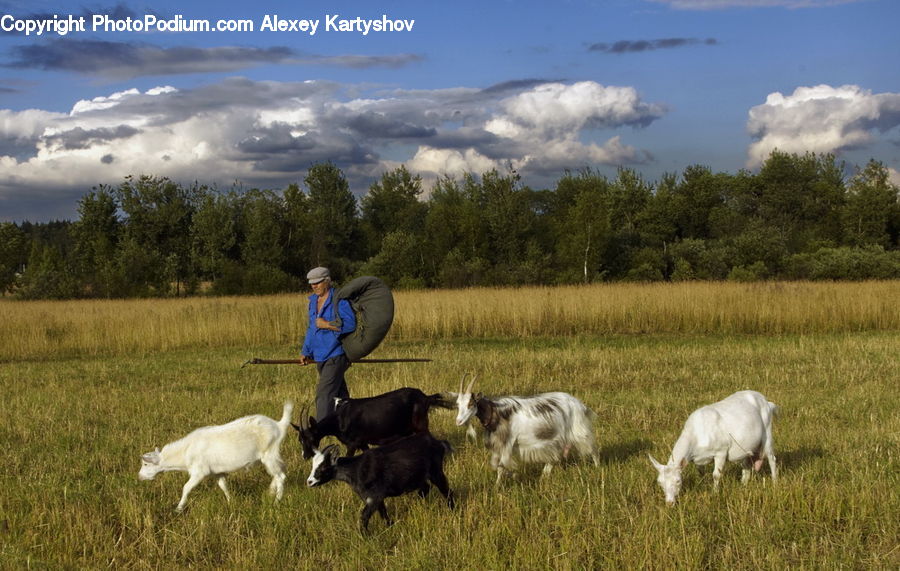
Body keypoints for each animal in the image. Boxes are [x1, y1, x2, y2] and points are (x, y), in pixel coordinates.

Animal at [139, 401, 293, 512]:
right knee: (279, 472)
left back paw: (276, 501)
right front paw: (230, 501)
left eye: (145, 464)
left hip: (269, 454)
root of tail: (279, 426)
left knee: (280, 476)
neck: (186, 451)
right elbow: (223, 486)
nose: (139, 477)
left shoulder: (199, 472)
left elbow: (186, 488)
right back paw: (271, 491)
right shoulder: (217, 472)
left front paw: (178, 508)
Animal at [292, 387, 454, 460]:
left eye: (311, 438)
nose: (305, 455)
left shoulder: (353, 443)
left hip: (421, 425)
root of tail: (425, 397)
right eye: (300, 439)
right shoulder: (363, 442)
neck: (339, 419)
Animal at [306, 433, 455, 532]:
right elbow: (382, 512)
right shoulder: (374, 497)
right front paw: (390, 526)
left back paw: (452, 510)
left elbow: (364, 516)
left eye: (323, 467)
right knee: (425, 488)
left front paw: (365, 536)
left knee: (446, 490)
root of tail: (438, 443)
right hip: (418, 476)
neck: (356, 468)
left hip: (436, 471)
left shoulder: (375, 496)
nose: (309, 482)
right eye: (313, 466)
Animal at [454, 375, 600, 483]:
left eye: (471, 404)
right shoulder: (499, 444)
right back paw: (544, 475)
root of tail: (579, 404)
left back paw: (598, 468)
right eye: (458, 404)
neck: (497, 413)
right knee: (555, 457)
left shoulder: (507, 443)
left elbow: (501, 467)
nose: (458, 421)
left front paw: (497, 487)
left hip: (579, 430)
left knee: (592, 450)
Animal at [649, 390, 778, 505]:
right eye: (660, 483)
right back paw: (743, 485)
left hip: (767, 432)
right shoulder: (698, 459)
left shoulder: (721, 451)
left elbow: (716, 475)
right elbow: (700, 472)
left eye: (678, 481)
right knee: (746, 465)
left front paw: (715, 493)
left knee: (772, 459)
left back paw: (774, 482)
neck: (696, 434)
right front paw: (703, 483)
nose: (669, 503)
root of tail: (766, 401)